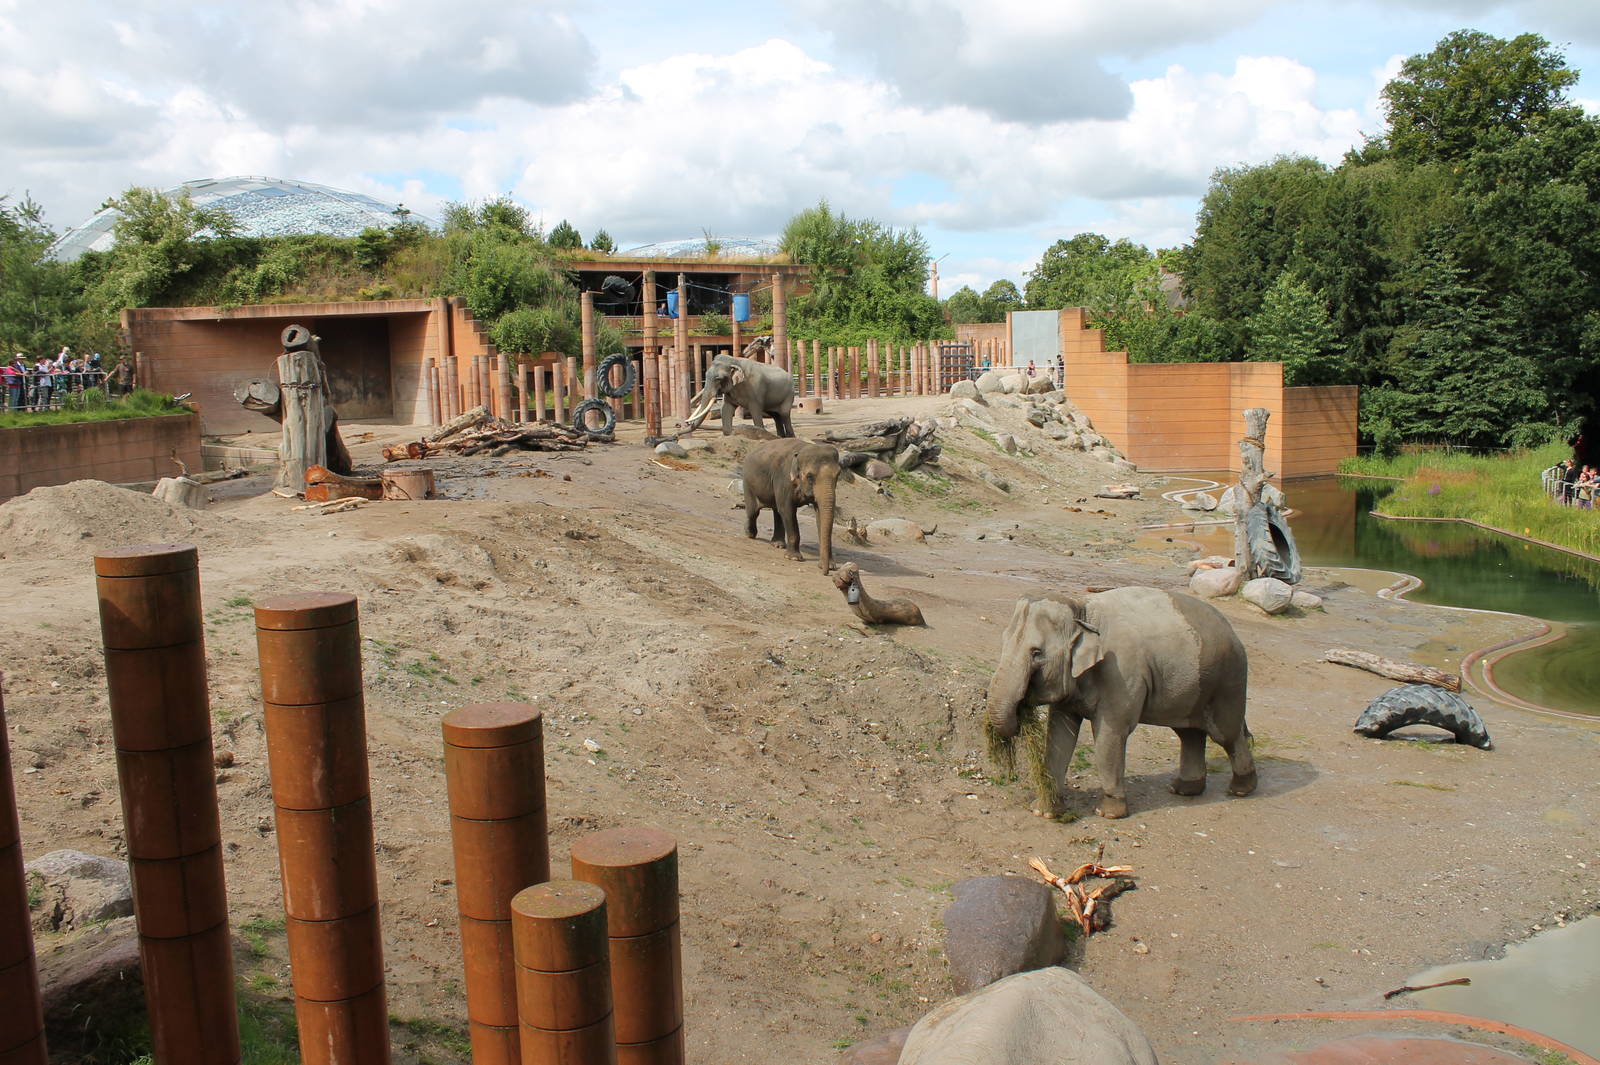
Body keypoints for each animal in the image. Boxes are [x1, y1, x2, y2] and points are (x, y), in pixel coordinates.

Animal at [740, 438, 839, 573]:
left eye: (838, 475)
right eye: (810, 476)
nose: (825, 572)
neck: (802, 449)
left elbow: (819, 514)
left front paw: (832, 566)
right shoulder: (784, 479)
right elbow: (787, 510)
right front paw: (794, 558)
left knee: (777, 511)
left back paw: (778, 544)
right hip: (748, 482)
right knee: (754, 512)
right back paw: (750, 534)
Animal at [985, 587, 1256, 819]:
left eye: (1036, 653)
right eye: (1004, 640)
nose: (1021, 711)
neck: (1082, 610)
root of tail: (1232, 630)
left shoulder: (1121, 675)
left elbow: (1110, 736)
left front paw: (1108, 813)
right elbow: (1059, 734)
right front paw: (1045, 810)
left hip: (1227, 681)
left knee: (1227, 734)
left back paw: (1241, 789)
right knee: (1189, 733)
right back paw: (1183, 790)